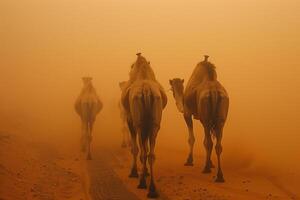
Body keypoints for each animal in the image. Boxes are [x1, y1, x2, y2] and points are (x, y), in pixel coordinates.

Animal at [120, 52, 168, 198]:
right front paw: (145, 172)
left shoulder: (131, 121)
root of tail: (146, 90)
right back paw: (152, 188)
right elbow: (146, 149)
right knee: (151, 154)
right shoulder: (148, 125)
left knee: (141, 151)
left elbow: (135, 149)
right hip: (154, 124)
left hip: (139, 124)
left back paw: (141, 183)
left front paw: (134, 172)